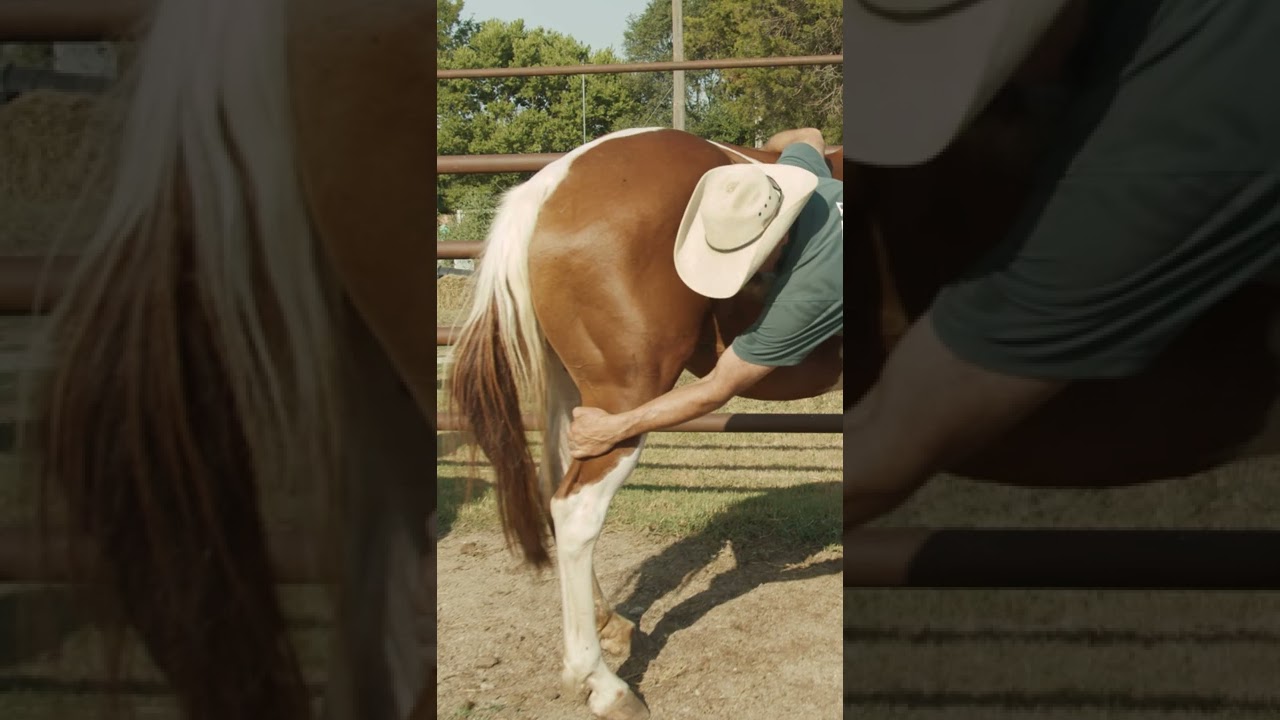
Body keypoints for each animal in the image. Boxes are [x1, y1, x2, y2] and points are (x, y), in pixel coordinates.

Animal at [445, 127, 845, 719]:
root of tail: (546, 188)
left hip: (574, 394)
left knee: (553, 483)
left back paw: (609, 623)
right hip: (624, 397)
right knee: (576, 510)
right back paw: (602, 684)